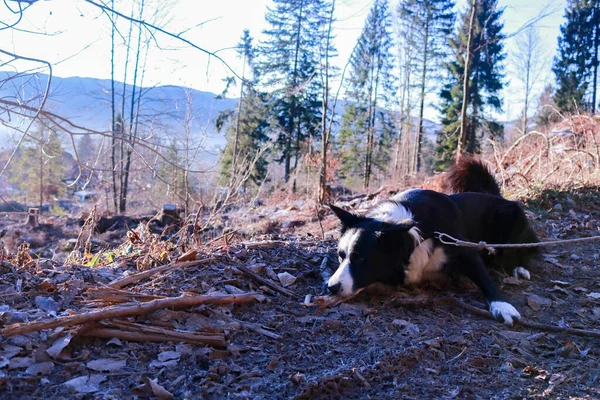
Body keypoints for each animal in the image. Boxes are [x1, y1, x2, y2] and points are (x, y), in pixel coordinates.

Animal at [328, 156, 540, 324]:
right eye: (340, 256)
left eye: (361, 259)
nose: (330, 287)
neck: (416, 233)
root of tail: (498, 197)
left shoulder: (461, 245)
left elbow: (483, 277)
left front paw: (502, 305)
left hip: (510, 220)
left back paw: (519, 268)